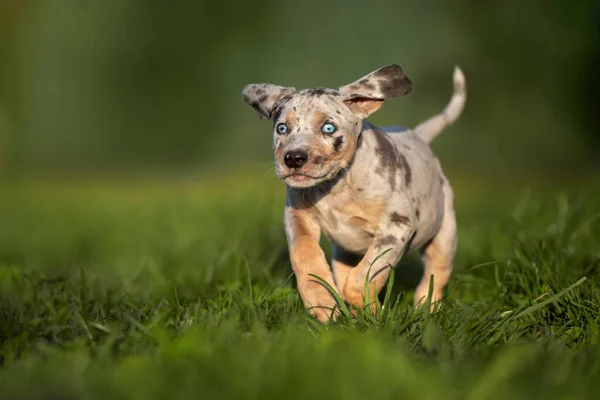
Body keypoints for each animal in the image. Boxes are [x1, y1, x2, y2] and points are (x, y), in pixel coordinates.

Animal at [241, 64, 466, 324]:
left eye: (329, 128)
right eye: (281, 128)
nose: (294, 158)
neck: (337, 188)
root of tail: (418, 135)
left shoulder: (396, 226)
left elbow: (366, 274)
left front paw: (367, 309)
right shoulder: (298, 218)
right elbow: (304, 254)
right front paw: (322, 301)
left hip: (444, 234)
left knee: (436, 273)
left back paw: (425, 307)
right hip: (343, 253)